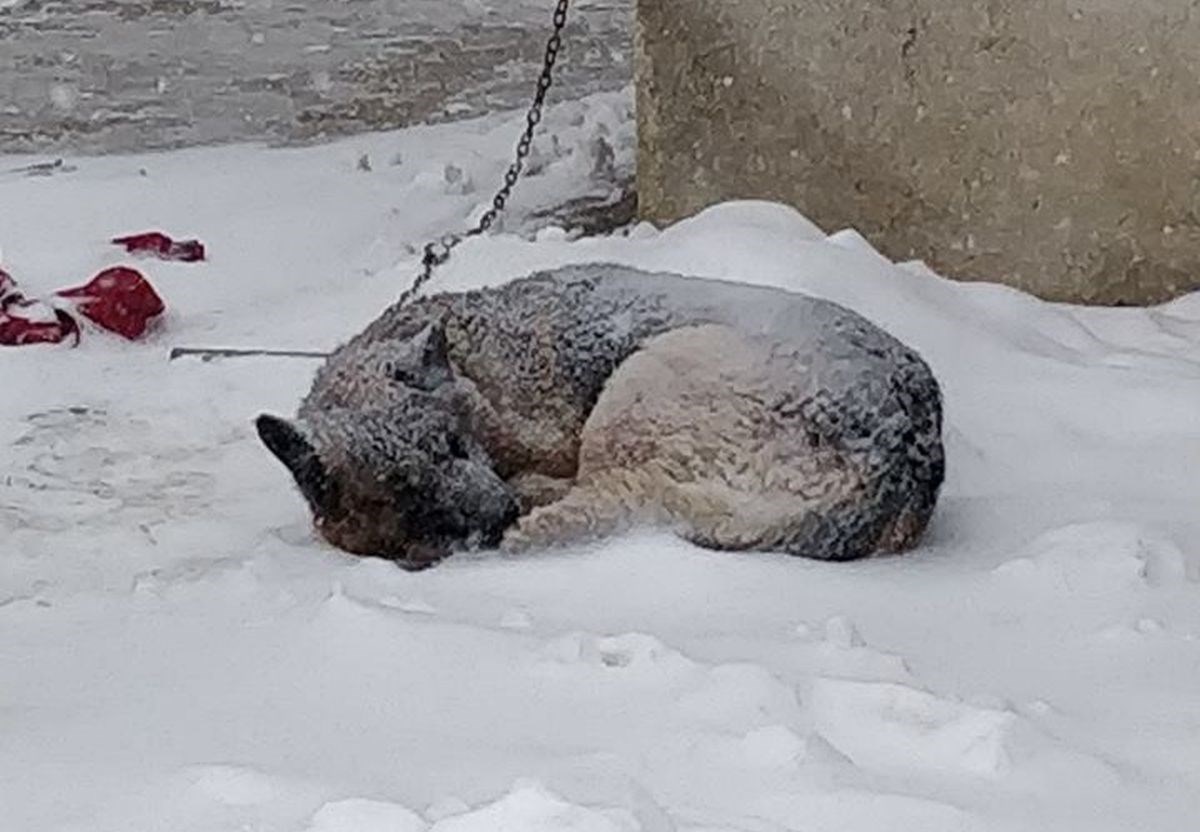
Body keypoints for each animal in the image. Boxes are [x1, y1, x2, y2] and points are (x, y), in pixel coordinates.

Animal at [258, 262, 940, 569]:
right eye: (404, 487)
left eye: (453, 445)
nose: (498, 515)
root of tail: (899, 462)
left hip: (641, 380)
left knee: (607, 491)